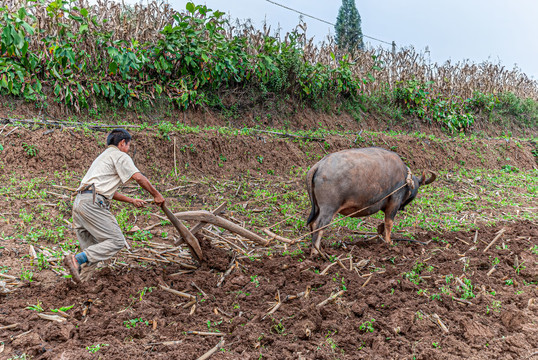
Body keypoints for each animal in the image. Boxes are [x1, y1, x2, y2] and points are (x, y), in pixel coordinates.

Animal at [304, 147, 434, 256]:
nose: (403, 207)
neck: (404, 178)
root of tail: (319, 165)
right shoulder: (394, 202)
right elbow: (389, 223)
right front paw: (389, 243)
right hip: (328, 210)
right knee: (318, 226)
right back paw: (316, 252)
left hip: (317, 208)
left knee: (312, 223)